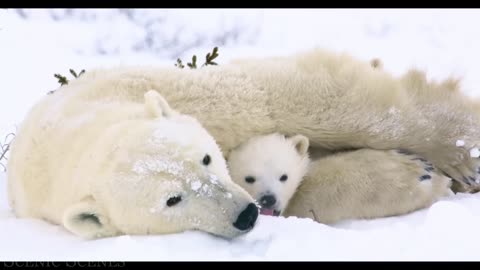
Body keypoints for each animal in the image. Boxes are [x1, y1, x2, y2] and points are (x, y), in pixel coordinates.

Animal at [5, 48, 480, 238]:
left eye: (206, 158)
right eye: (173, 199)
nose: (246, 213)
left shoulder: (162, 89)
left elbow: (292, 97)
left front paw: (457, 155)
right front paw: (417, 176)